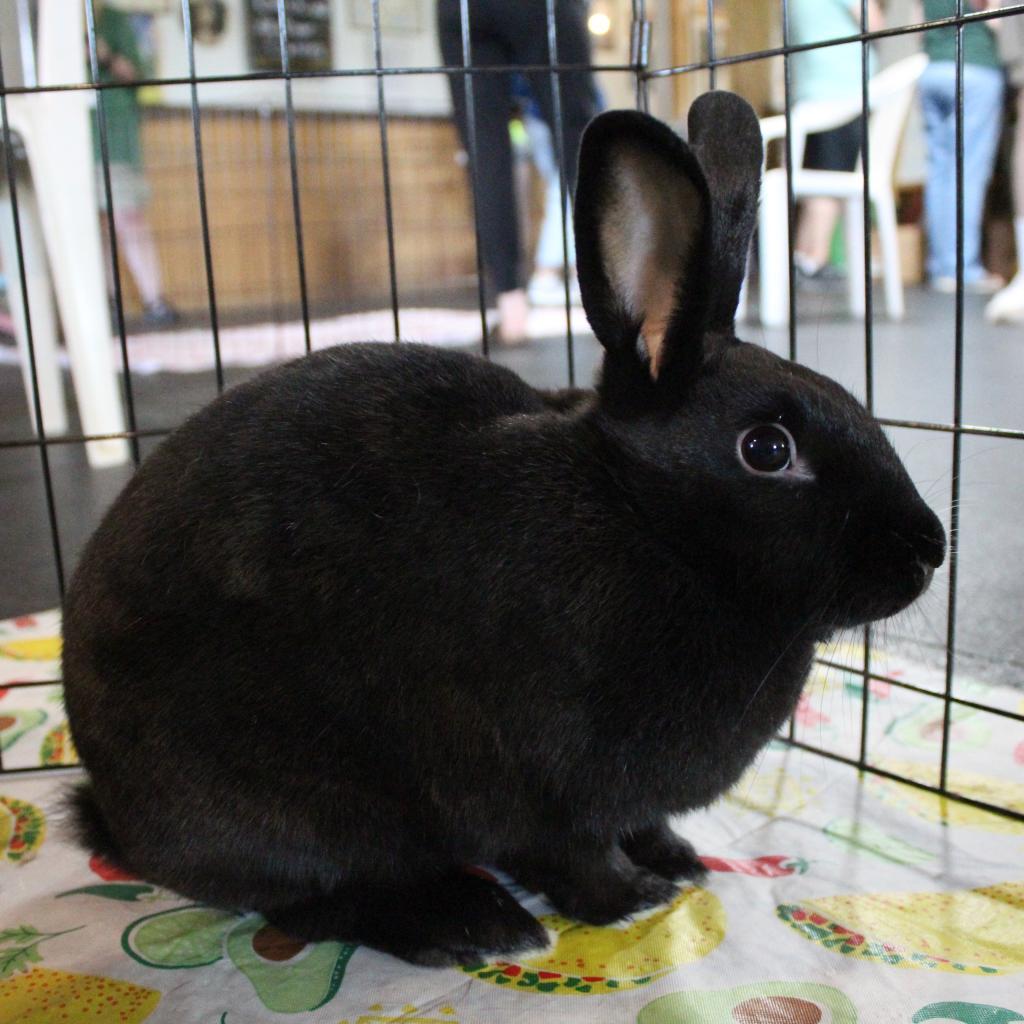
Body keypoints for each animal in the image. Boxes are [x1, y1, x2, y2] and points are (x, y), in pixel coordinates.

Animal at [62, 91, 946, 968]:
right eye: (767, 450)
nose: (930, 549)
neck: (644, 519)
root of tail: (116, 815)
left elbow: (641, 823)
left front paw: (677, 860)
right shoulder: (545, 784)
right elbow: (575, 853)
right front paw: (632, 899)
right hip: (292, 802)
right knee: (312, 898)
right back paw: (472, 922)